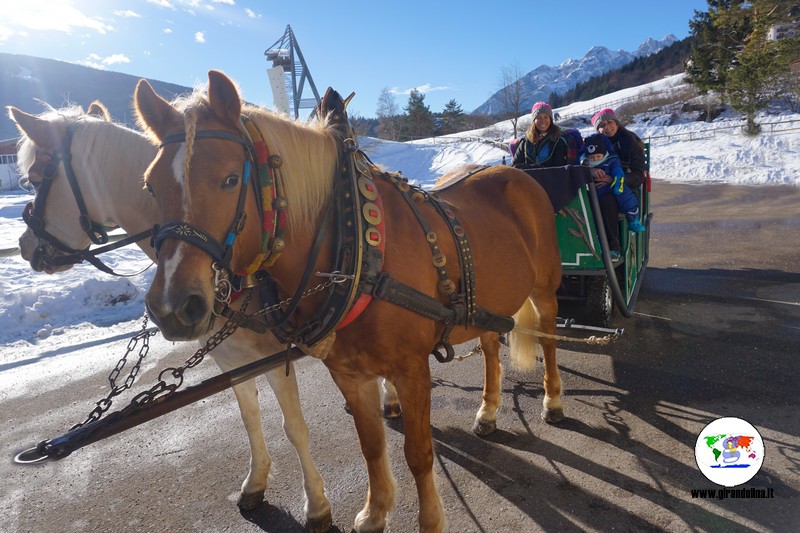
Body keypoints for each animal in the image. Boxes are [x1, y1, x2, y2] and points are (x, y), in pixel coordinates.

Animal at [134, 70, 564, 532]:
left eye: (231, 179)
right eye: (150, 185)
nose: (173, 307)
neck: (357, 252)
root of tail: (512, 172)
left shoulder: (411, 369)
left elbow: (418, 454)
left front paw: (429, 520)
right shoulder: (348, 372)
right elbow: (371, 445)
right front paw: (375, 511)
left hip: (545, 289)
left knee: (549, 340)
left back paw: (553, 401)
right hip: (489, 303)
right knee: (489, 346)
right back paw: (488, 410)